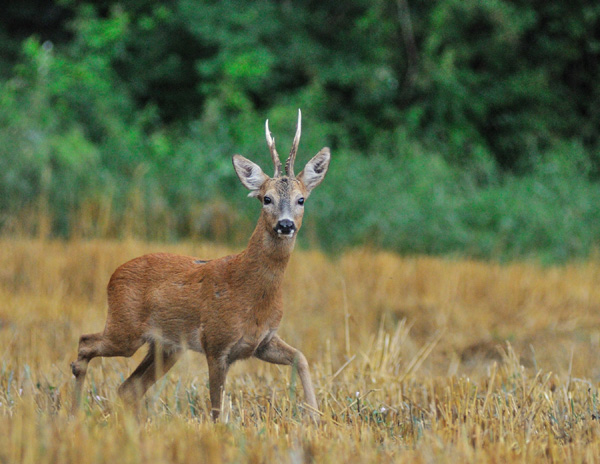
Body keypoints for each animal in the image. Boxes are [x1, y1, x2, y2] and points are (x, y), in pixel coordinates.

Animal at [72, 109, 330, 420]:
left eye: (301, 199)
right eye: (266, 199)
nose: (286, 225)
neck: (250, 292)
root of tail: (113, 276)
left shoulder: (262, 342)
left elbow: (301, 358)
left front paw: (315, 417)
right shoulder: (216, 343)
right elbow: (217, 408)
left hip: (166, 347)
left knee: (128, 388)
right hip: (125, 328)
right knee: (85, 342)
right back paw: (72, 411)